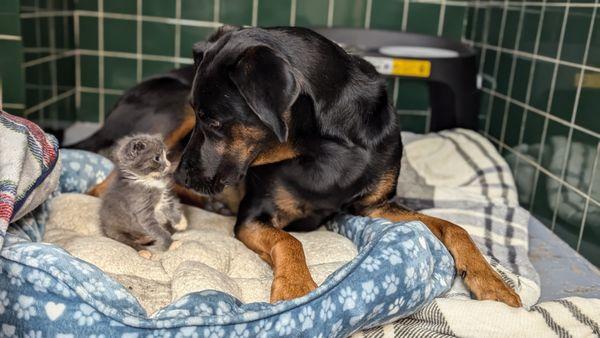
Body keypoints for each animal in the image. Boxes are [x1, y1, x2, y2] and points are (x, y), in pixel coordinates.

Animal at [71, 25, 520, 306]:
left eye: (214, 122)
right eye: (203, 117)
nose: (180, 173)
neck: (326, 148)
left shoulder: (375, 207)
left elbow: (453, 226)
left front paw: (493, 283)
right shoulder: (255, 215)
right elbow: (290, 241)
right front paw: (296, 290)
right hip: (169, 108)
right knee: (102, 184)